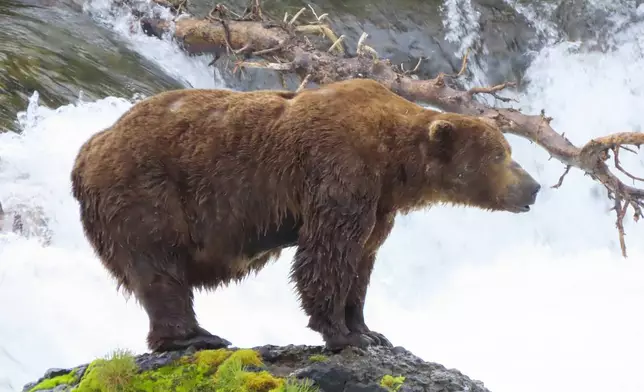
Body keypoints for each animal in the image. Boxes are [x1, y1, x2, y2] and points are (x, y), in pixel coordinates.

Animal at [70, 78, 540, 354]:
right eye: (500, 155)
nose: (533, 187)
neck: (395, 164)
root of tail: (88, 149)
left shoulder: (379, 205)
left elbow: (362, 261)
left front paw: (368, 329)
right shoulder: (340, 172)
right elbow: (327, 254)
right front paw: (341, 333)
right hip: (146, 192)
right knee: (160, 267)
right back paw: (195, 335)